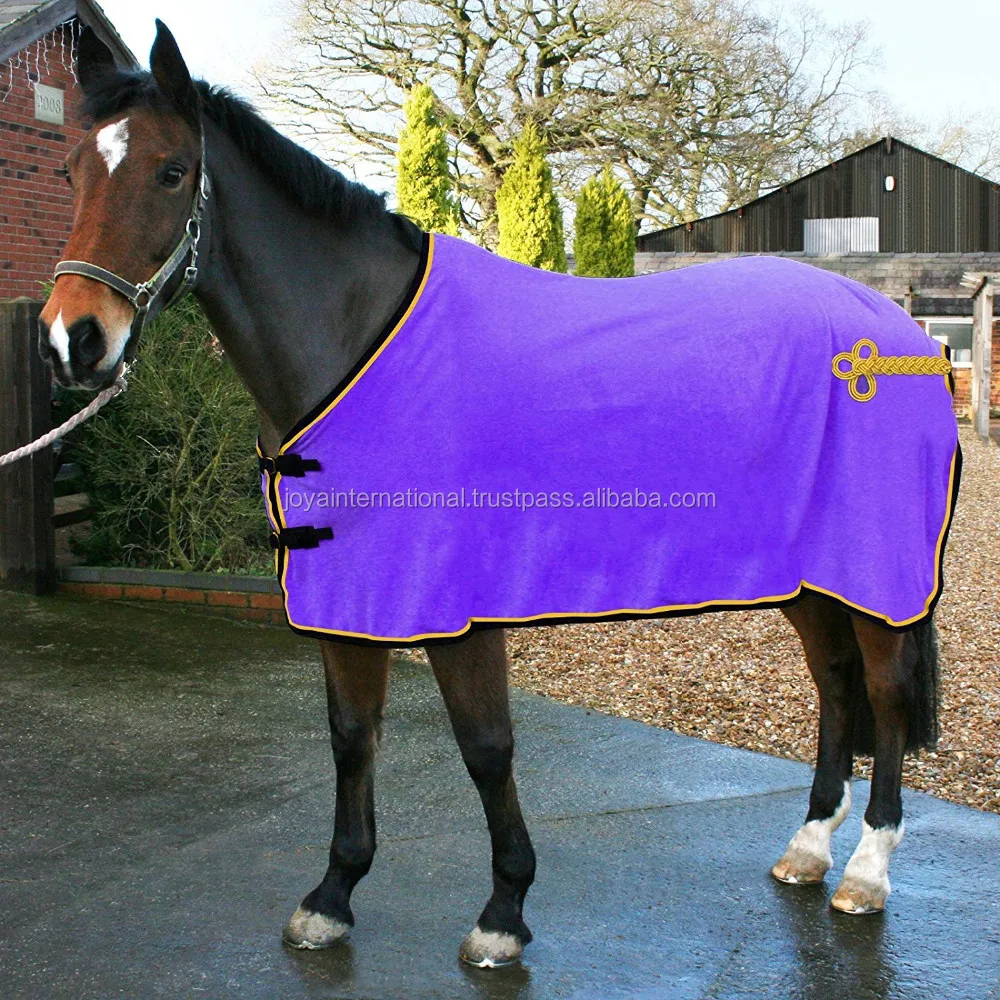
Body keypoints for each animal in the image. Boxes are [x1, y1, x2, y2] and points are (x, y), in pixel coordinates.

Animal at [38, 21, 958, 968]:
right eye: (70, 170)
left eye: (170, 170)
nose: (74, 341)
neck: (358, 343)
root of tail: (900, 333)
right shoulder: (350, 596)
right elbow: (351, 738)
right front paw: (332, 898)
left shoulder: (456, 603)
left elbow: (485, 747)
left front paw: (503, 913)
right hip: (810, 575)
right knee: (836, 684)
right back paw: (808, 849)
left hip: (877, 571)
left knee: (886, 693)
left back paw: (866, 871)